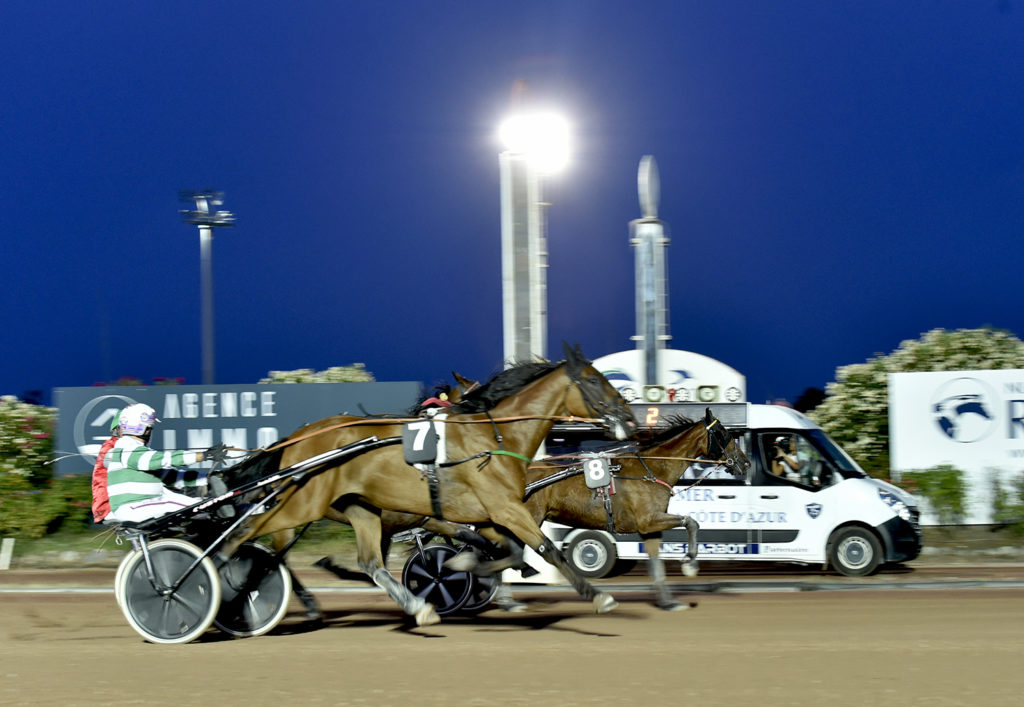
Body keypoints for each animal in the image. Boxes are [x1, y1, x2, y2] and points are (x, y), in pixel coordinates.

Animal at [228, 344, 634, 627]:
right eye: (595, 380)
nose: (628, 415)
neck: (488, 437)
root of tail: (295, 438)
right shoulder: (492, 510)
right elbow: (544, 548)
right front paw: (597, 597)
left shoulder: (485, 514)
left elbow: (504, 550)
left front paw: (482, 577)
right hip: (299, 508)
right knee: (266, 548)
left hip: (355, 509)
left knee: (364, 561)